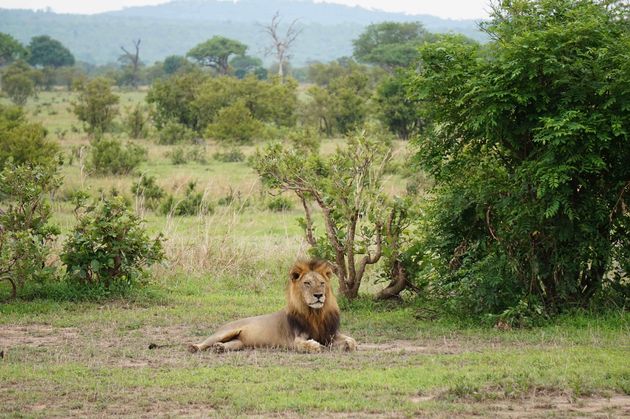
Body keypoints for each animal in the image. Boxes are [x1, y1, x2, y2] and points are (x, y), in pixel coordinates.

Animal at [188, 260, 358, 354]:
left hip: (240, 342)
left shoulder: (329, 334)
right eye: (307, 283)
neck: (315, 314)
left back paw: (219, 348)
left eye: (322, 283)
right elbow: (303, 344)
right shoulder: (293, 339)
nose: (318, 295)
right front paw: (314, 345)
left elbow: (352, 341)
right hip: (223, 333)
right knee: (205, 342)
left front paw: (346, 345)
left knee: (229, 344)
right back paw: (194, 347)